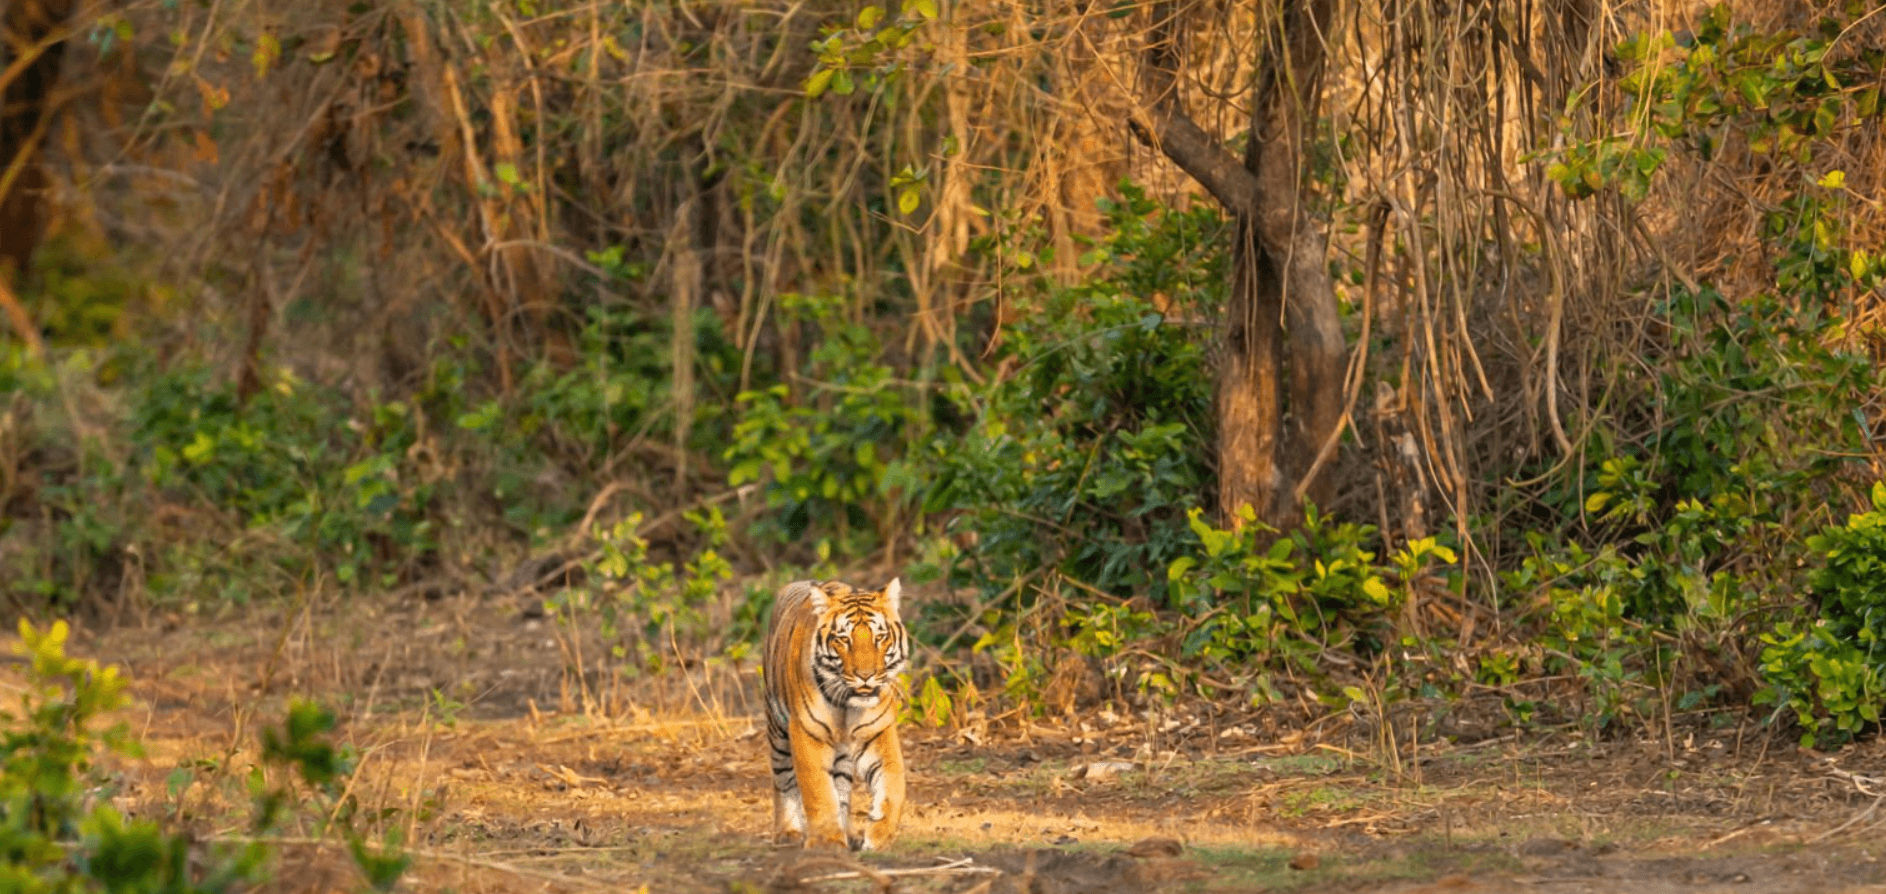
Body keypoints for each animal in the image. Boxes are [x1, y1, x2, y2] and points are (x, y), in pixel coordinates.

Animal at [765, 577, 912, 848]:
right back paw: (787, 832)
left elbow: (894, 783)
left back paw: (848, 832)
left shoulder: (877, 732)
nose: (866, 676)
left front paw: (879, 834)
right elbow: (818, 791)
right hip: (777, 731)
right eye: (843, 638)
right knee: (782, 780)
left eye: (880, 637)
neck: (847, 705)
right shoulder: (807, 733)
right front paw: (826, 841)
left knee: (841, 788)